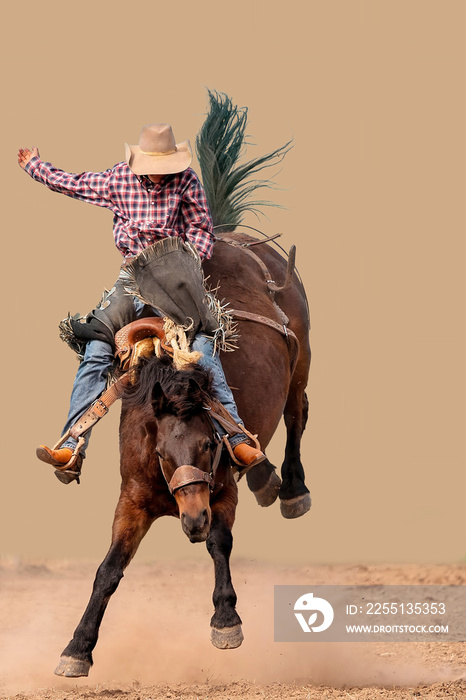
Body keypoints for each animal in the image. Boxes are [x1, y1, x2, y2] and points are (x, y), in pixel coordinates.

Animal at [42, 90, 314, 676]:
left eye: (211, 445)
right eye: (163, 454)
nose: (189, 520)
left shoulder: (220, 490)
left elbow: (220, 543)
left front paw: (226, 621)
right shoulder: (132, 499)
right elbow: (108, 570)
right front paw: (76, 648)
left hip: (302, 363)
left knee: (297, 417)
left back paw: (289, 488)